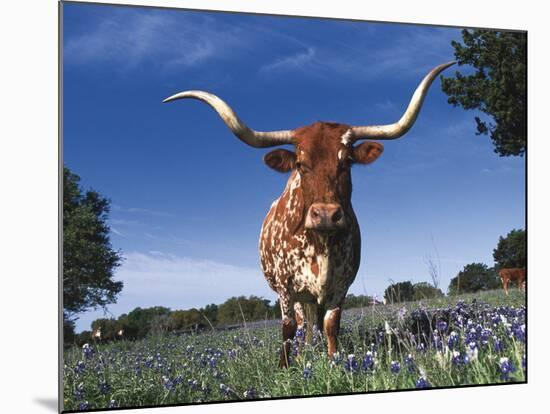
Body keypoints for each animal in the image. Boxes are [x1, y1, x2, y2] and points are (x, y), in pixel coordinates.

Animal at [164, 60, 458, 366]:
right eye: (301, 164)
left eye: (347, 161)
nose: (326, 214)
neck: (321, 244)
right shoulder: (286, 288)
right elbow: (288, 327)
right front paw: (284, 366)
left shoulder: (341, 284)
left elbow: (330, 324)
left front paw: (334, 360)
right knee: (301, 324)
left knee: (313, 323)